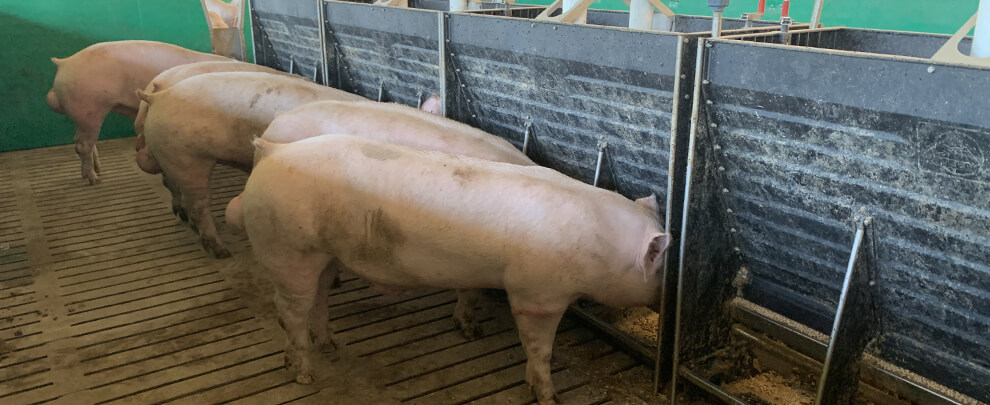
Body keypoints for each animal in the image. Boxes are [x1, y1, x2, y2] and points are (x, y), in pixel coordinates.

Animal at [46, 40, 229, 185]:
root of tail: (64, 63)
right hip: (90, 109)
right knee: (82, 146)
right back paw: (95, 180)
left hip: (83, 115)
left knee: (81, 142)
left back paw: (96, 171)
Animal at [136, 72, 366, 258]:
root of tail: (158, 96)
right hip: (187, 158)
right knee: (199, 205)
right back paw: (222, 252)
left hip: (171, 156)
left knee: (173, 186)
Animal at [235, 134, 671, 404]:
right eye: (660, 267)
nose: (664, 300)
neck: (600, 249)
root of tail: (272, 151)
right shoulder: (536, 295)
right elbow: (539, 348)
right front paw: (549, 396)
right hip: (289, 249)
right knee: (290, 311)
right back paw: (304, 373)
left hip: (325, 255)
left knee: (319, 299)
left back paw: (330, 347)